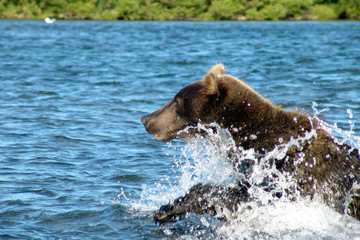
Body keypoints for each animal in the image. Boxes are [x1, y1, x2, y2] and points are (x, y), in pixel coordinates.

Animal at [141, 63, 360, 225]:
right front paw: (167, 208)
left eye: (177, 100)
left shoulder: (291, 176)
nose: (146, 119)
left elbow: (248, 199)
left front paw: (169, 210)